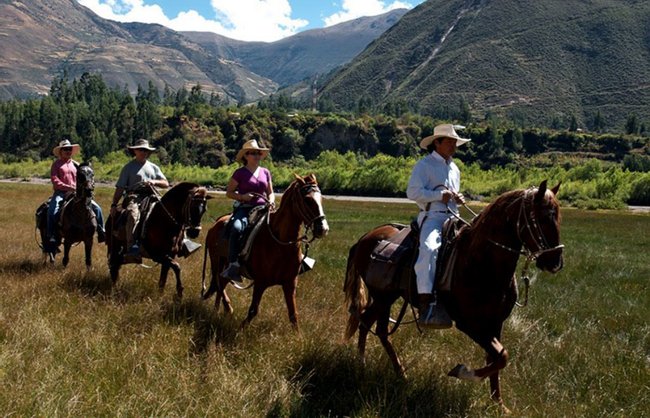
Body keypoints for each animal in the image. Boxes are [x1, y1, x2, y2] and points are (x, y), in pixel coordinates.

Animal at [199, 173, 330, 326]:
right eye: (308, 200)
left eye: (321, 199)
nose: (323, 229)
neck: (281, 243)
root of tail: (216, 224)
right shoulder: (260, 282)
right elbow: (252, 311)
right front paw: (241, 329)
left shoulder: (290, 283)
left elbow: (293, 316)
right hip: (216, 261)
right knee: (219, 283)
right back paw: (224, 309)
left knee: (221, 282)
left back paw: (222, 309)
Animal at [344, 180, 560, 412]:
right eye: (542, 217)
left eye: (558, 216)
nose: (556, 262)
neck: (482, 262)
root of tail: (366, 237)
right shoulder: (470, 324)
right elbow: (501, 356)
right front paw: (462, 372)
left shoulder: (495, 323)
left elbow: (496, 359)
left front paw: (499, 404)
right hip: (383, 297)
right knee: (379, 330)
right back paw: (385, 371)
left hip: (385, 298)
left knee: (367, 322)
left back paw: (373, 367)